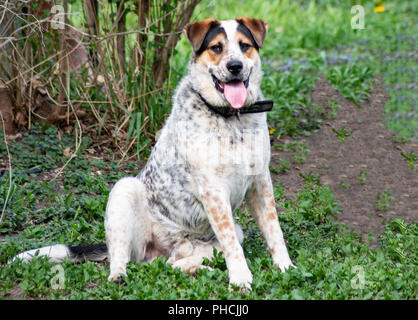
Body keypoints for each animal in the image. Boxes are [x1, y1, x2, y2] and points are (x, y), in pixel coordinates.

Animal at [13, 16, 296, 290]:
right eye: (217, 48)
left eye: (244, 46)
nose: (235, 66)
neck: (232, 119)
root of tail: (170, 246)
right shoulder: (214, 192)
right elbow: (233, 248)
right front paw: (240, 279)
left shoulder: (260, 182)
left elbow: (274, 231)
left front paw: (286, 268)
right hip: (124, 193)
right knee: (121, 257)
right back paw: (119, 275)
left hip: (227, 235)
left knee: (173, 263)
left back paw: (200, 270)